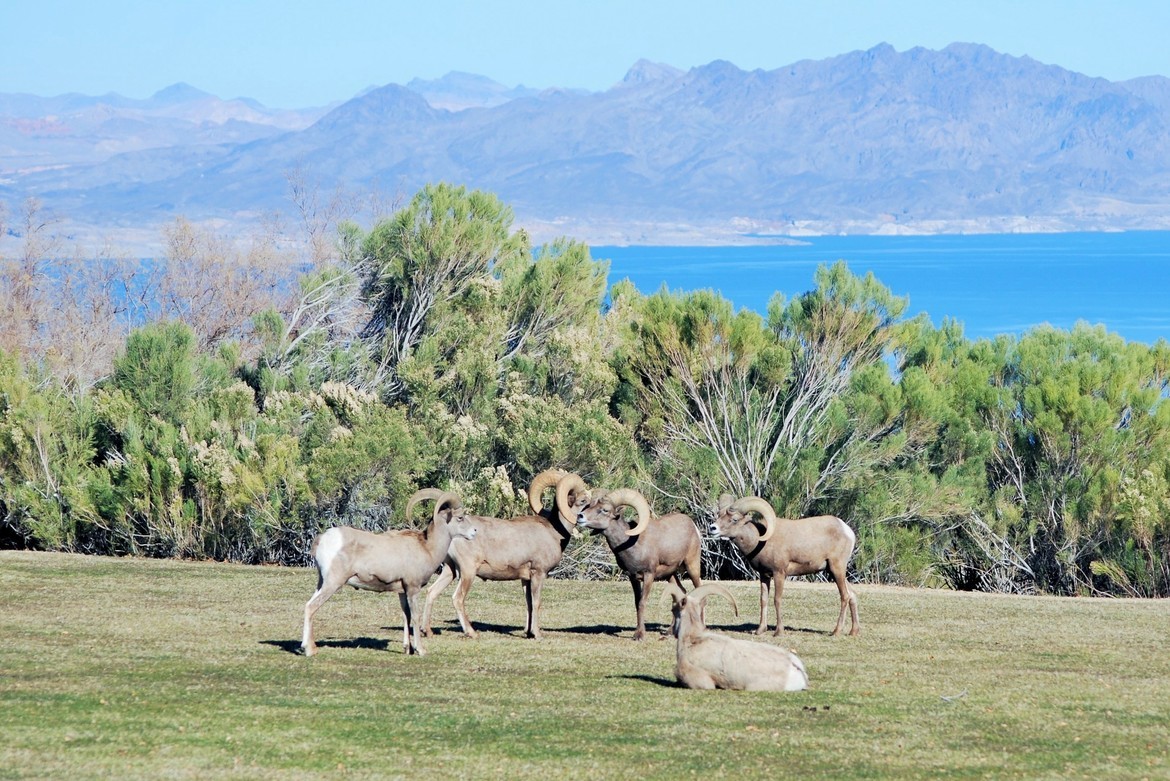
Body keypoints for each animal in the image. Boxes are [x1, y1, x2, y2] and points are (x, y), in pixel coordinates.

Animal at [300, 490, 477, 657]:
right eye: (460, 517)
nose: (474, 531)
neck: (427, 548)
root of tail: (322, 540)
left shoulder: (402, 592)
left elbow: (406, 616)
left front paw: (407, 649)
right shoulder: (412, 589)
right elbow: (415, 616)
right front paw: (421, 650)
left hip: (322, 583)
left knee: (308, 604)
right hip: (333, 583)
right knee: (311, 607)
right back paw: (310, 650)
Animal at [420, 468, 590, 639]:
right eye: (583, 501)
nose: (584, 517)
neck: (554, 530)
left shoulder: (526, 579)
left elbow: (528, 603)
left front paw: (528, 633)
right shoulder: (538, 574)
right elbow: (536, 603)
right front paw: (537, 634)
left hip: (450, 571)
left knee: (431, 592)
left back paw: (426, 631)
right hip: (468, 572)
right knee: (457, 599)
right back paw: (472, 633)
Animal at [574, 485, 702, 640]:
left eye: (604, 509)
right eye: (589, 506)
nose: (580, 516)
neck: (632, 544)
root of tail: (693, 526)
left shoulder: (648, 575)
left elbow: (642, 602)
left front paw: (639, 635)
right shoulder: (633, 577)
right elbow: (636, 603)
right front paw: (637, 633)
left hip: (692, 566)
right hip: (670, 574)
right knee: (679, 593)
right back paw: (670, 632)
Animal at [710, 495, 860, 637]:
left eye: (734, 519)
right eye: (719, 515)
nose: (712, 528)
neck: (760, 540)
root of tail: (847, 531)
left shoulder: (779, 573)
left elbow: (777, 600)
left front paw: (778, 632)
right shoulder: (764, 575)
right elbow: (763, 600)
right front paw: (759, 630)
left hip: (837, 568)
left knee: (845, 596)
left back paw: (836, 632)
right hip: (833, 571)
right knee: (852, 594)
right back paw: (853, 632)